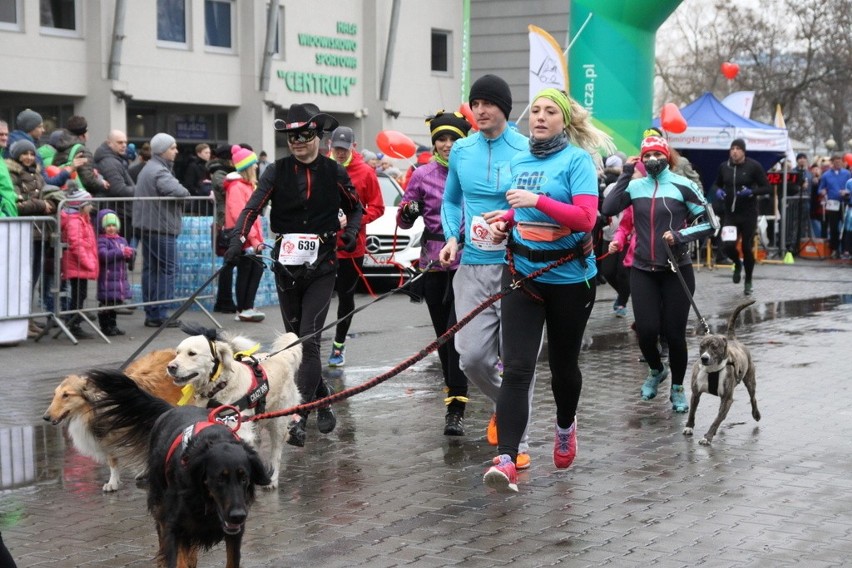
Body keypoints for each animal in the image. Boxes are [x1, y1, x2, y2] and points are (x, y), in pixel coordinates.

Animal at [42, 348, 181, 490]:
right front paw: (113, 482)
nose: (46, 417)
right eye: (55, 394)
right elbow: (112, 461)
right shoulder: (108, 437)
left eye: (66, 395)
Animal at [89, 368, 270, 568]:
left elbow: (231, 559)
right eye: (219, 479)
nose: (238, 515)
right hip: (159, 503)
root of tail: (171, 409)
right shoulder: (174, 525)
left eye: (244, 478)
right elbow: (174, 555)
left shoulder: (235, 532)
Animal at [166, 330, 302, 490]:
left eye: (192, 353)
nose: (170, 367)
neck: (220, 386)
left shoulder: (240, 429)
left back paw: (272, 479)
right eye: (177, 352)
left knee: (276, 451)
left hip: (278, 422)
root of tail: (282, 356)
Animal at [684, 300, 764, 446]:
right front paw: (688, 427)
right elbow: (692, 411)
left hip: (750, 379)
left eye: (714, 347)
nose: (704, 358)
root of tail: (733, 339)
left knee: (752, 397)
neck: (712, 370)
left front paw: (708, 437)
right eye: (702, 346)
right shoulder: (696, 393)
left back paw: (756, 414)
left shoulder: (727, 398)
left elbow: (717, 420)